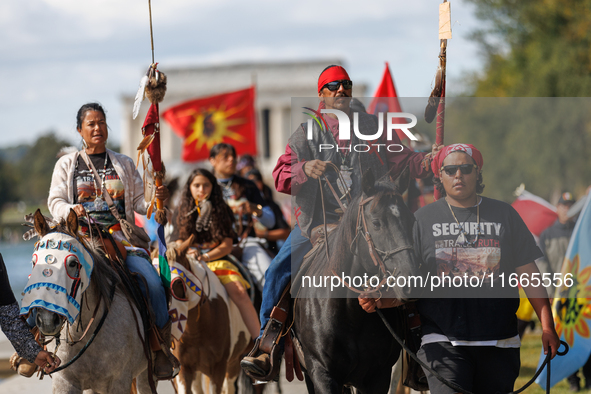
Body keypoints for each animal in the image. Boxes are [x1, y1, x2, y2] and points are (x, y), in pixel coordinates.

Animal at [22, 211, 155, 392]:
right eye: (34, 262)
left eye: (73, 263)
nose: (47, 320)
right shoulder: (65, 381)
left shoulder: (120, 381)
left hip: (145, 374)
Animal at [294, 168, 424, 392]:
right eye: (376, 223)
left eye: (411, 221)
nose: (411, 283)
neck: (348, 312)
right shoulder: (321, 373)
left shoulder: (377, 376)